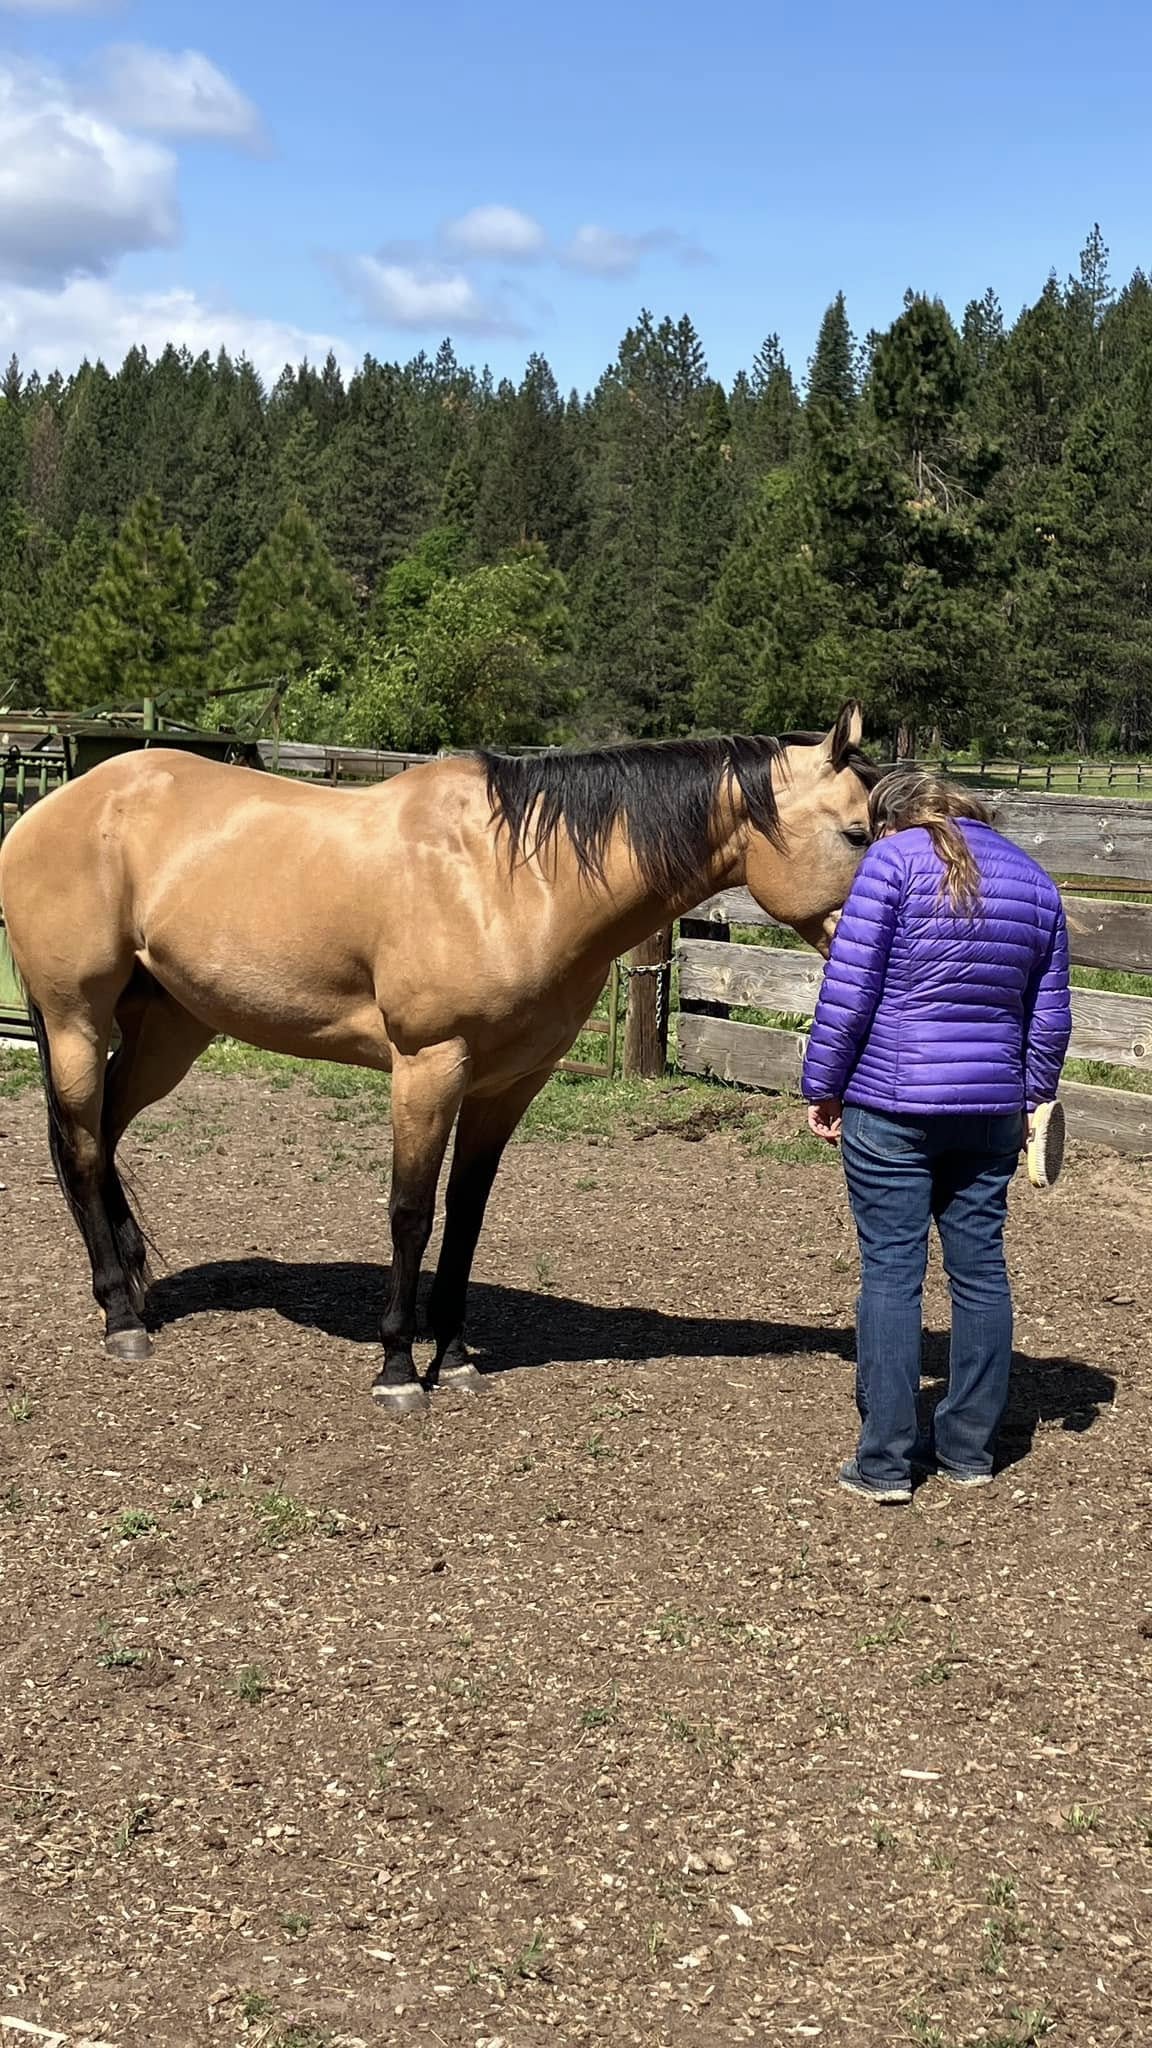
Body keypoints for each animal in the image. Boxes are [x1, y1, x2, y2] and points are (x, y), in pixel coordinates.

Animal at [0, 702, 879, 1412]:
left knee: (101, 1138)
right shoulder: (428, 1066)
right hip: (75, 1022)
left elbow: (467, 1216)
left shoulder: (506, 1086)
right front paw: (397, 1369)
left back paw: (136, 1290)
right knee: (82, 1149)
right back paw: (121, 1319)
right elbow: (410, 1213)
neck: (511, 878)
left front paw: (453, 1360)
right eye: (858, 833)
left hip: (167, 1033)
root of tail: (51, 809)